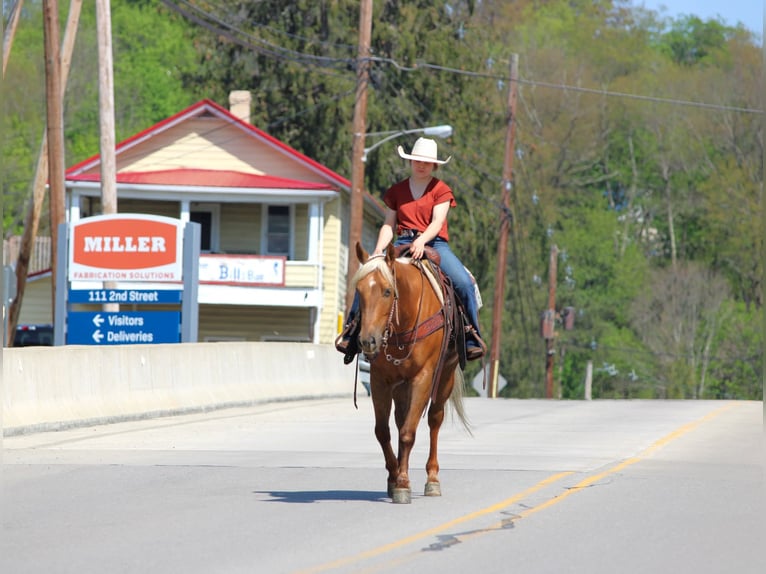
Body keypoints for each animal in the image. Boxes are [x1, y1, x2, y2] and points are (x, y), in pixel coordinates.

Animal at [350, 242, 471, 504]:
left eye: (387, 291)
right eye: (359, 291)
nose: (367, 341)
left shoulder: (422, 378)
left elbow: (408, 432)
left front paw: (403, 484)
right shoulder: (380, 380)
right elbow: (383, 431)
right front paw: (395, 476)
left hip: (444, 377)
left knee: (434, 420)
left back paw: (432, 479)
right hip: (400, 387)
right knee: (399, 420)